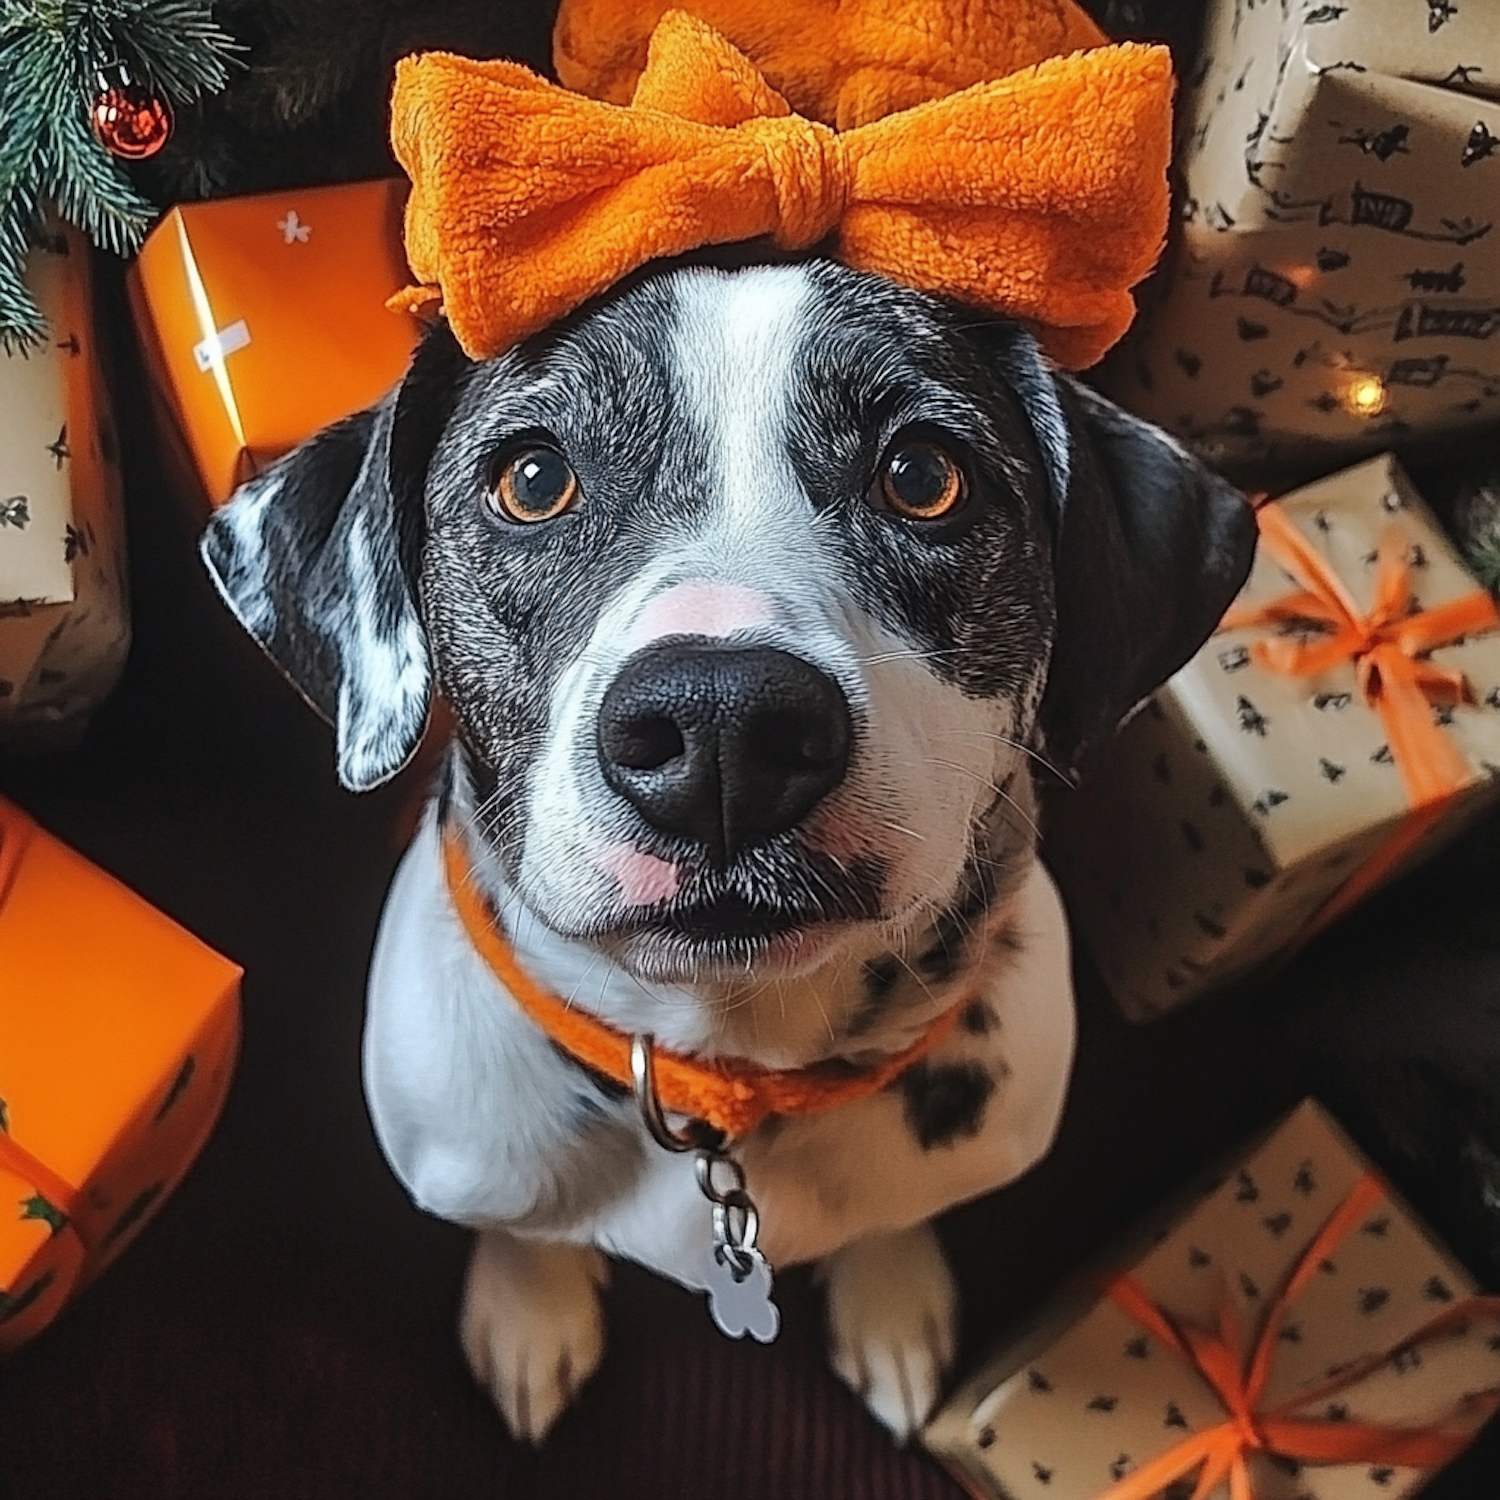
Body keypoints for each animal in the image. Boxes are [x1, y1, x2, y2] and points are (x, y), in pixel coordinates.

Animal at [199, 255, 1254, 1440]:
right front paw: (530, 1308)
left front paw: (890, 1296)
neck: (729, 1060)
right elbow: (517, 1226)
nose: (722, 725)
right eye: (533, 479)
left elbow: (893, 1218)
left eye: (924, 475)